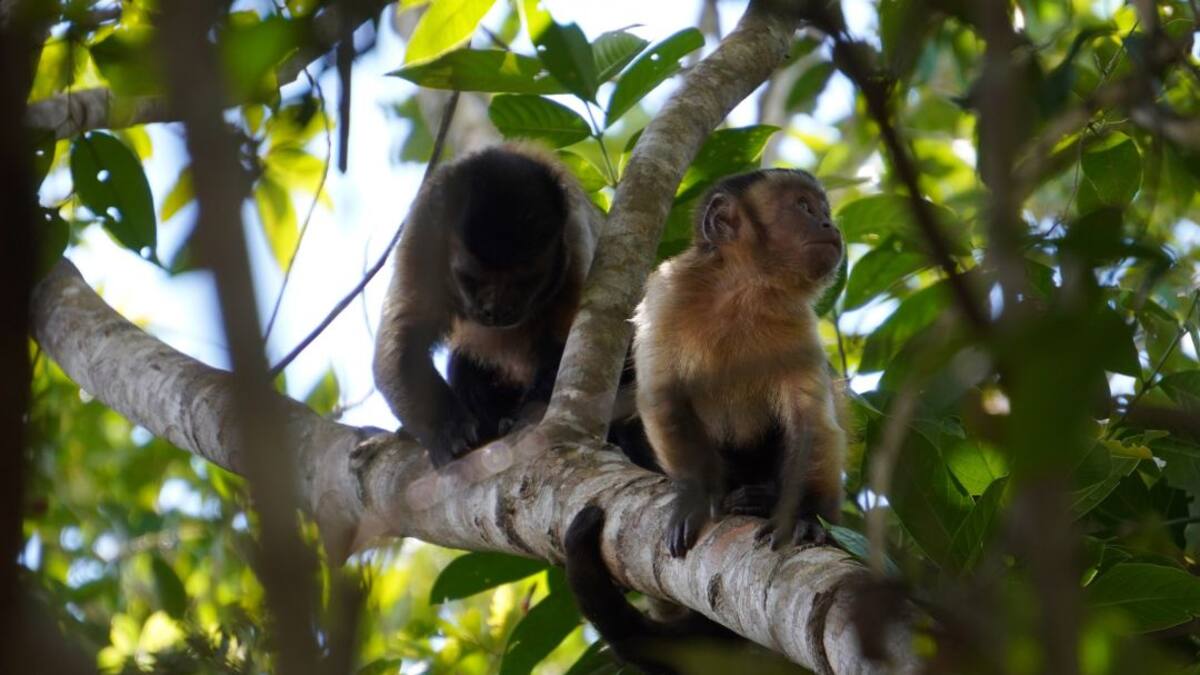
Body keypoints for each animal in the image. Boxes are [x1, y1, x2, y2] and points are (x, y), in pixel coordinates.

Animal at [372, 142, 599, 468]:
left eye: (526, 281)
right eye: (472, 279)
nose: (496, 310)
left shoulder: (576, 239)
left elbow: (565, 344)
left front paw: (526, 418)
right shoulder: (421, 234)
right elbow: (403, 339)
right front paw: (446, 429)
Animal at [631, 168, 847, 557]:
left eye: (823, 210)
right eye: (803, 206)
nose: (829, 224)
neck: (742, 291)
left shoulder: (797, 321)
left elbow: (811, 423)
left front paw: (803, 515)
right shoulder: (667, 293)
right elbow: (663, 399)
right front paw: (697, 496)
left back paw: (764, 500)